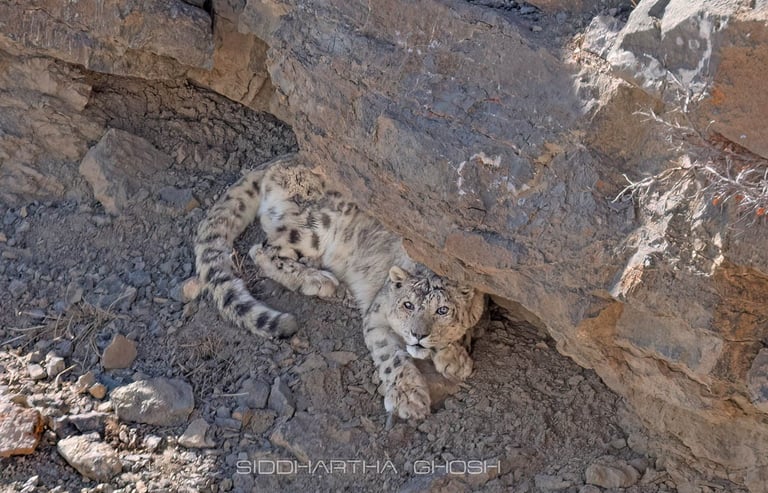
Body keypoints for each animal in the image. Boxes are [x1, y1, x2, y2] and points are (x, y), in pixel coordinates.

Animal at [194, 153, 485, 420]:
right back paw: (319, 281)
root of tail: (285, 158)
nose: (417, 335)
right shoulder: (376, 317)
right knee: (263, 250)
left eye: (443, 310)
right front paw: (408, 398)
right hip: (312, 228)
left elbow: (469, 326)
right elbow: (391, 358)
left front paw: (454, 357)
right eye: (408, 304)